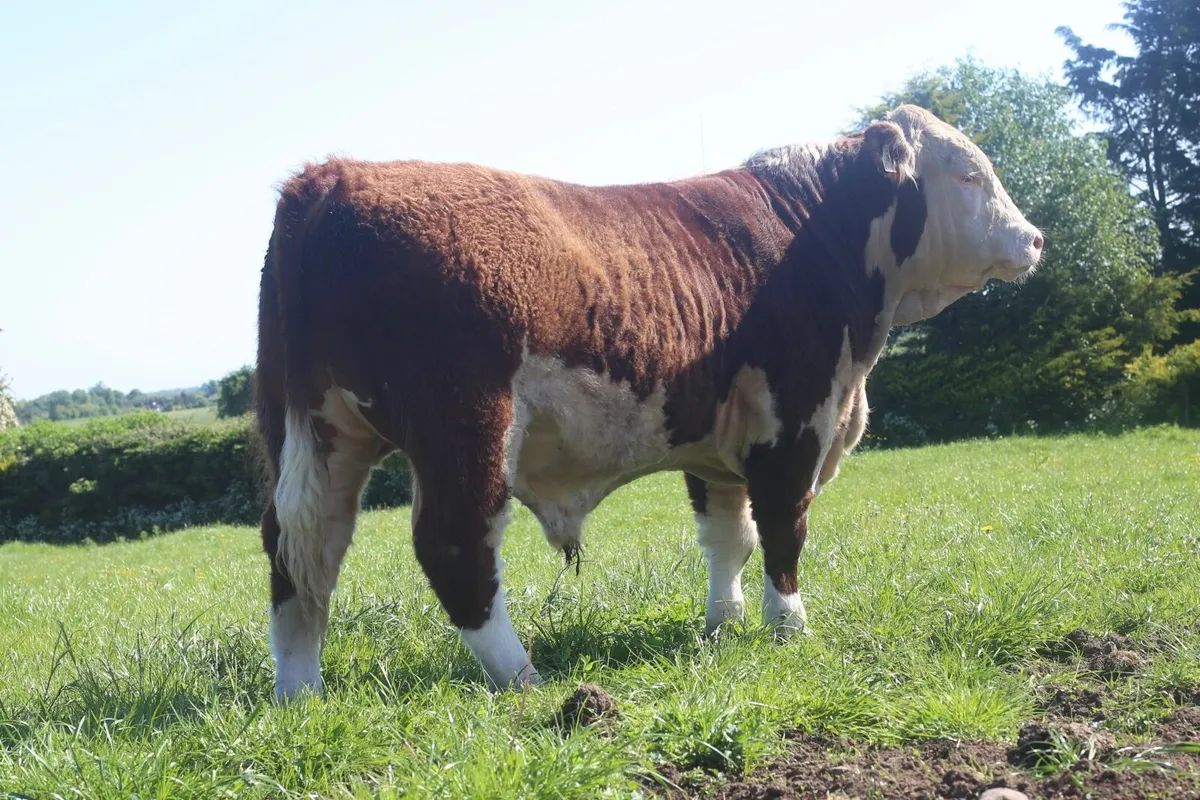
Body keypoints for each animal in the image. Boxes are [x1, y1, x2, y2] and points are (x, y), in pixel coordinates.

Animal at [253, 104, 1043, 701]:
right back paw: (522, 676)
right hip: (465, 425)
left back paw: (301, 693)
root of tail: (334, 177)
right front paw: (790, 627)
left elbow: (729, 536)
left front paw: (723, 625)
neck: (816, 236)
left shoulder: (717, 443)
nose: (1034, 238)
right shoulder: (796, 421)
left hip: (313, 430)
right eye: (970, 173)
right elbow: (784, 528)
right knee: (453, 545)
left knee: (303, 548)